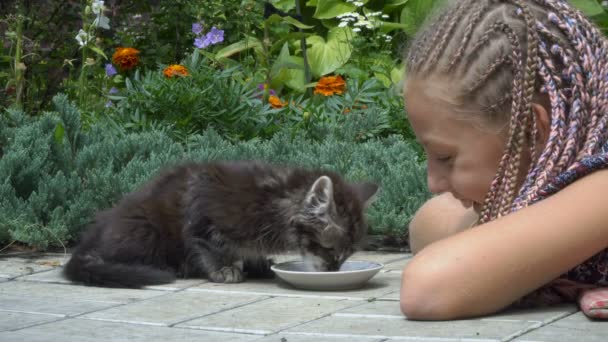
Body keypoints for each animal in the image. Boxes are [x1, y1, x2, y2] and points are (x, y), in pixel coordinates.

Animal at [61, 159, 376, 288]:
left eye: (347, 255)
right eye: (332, 251)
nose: (333, 271)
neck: (272, 202)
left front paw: (255, 264)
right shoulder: (203, 208)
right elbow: (208, 244)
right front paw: (224, 268)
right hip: (145, 228)